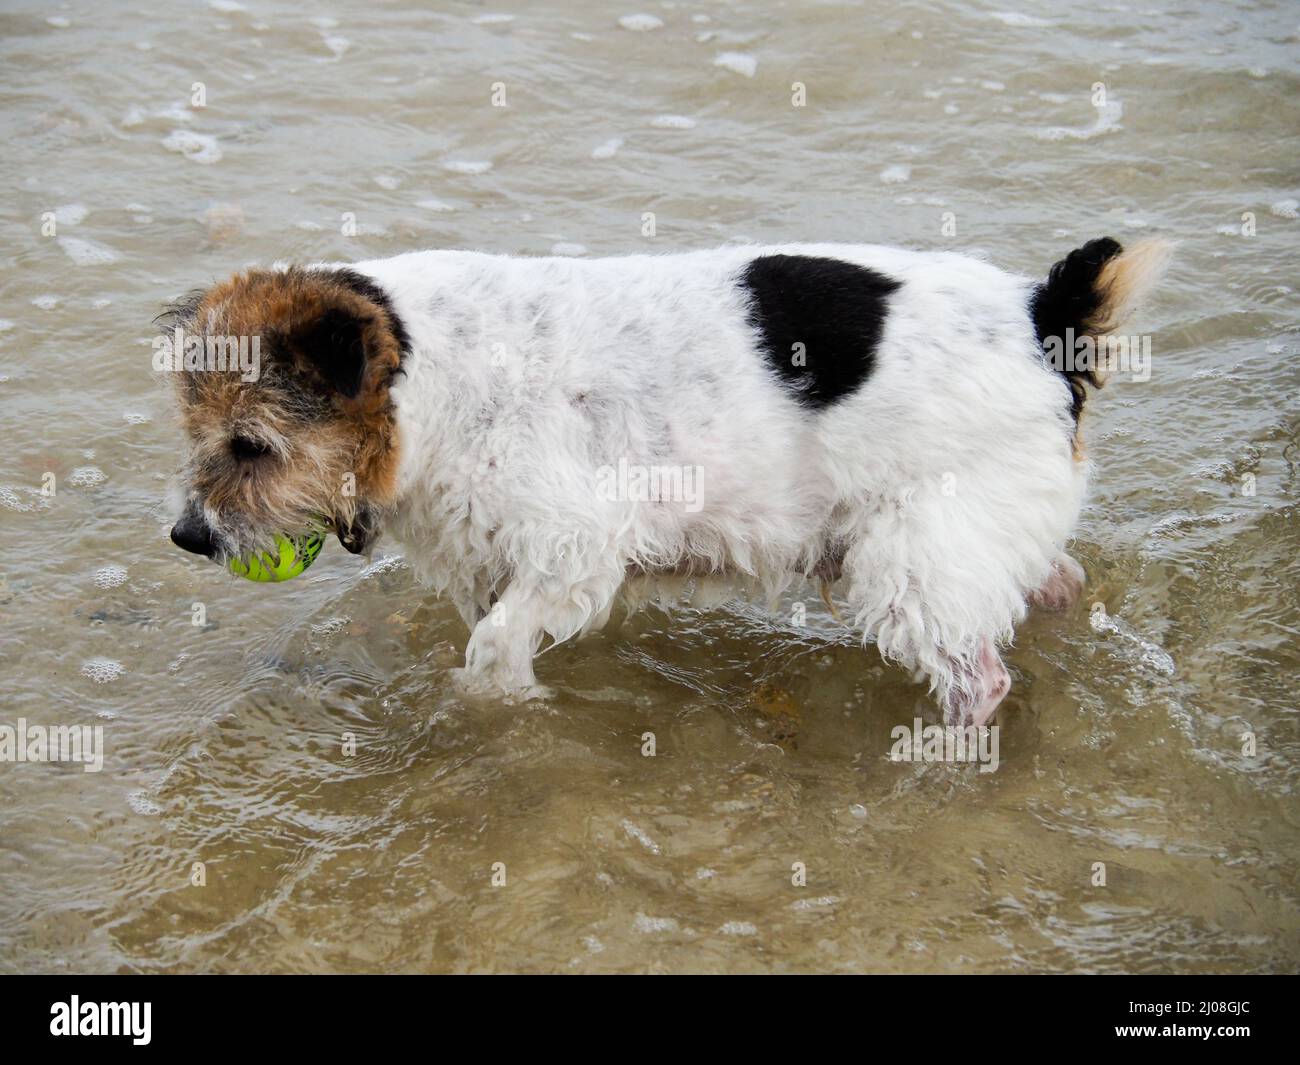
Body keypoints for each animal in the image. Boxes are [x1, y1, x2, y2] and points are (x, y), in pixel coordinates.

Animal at [162, 237, 1170, 728]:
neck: (426, 374)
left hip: (916, 561)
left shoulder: (571, 546)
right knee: (1057, 583)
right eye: (202, 435)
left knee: (981, 680)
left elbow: (493, 650)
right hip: (974, 536)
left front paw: (503, 712)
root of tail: (1043, 316)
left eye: (251, 446)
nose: (188, 536)